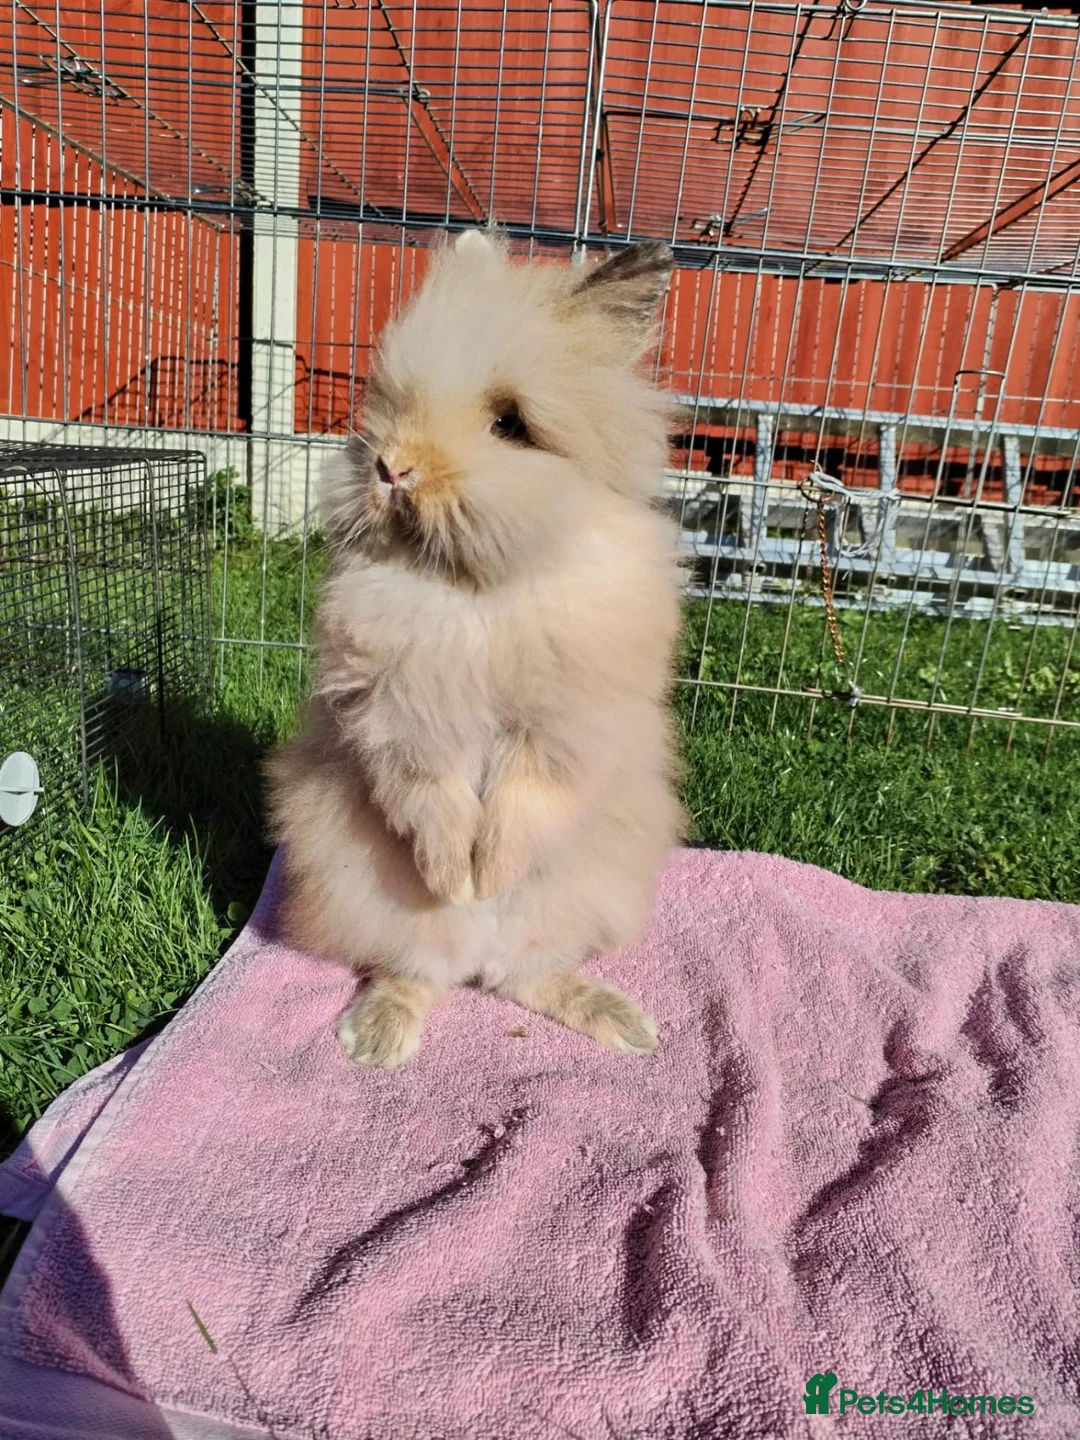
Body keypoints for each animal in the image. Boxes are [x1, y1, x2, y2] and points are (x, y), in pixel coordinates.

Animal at [264, 228, 685, 1069]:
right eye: (388, 403)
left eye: (511, 425)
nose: (392, 467)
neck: (473, 593)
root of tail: (477, 959)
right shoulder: (400, 723)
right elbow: (432, 802)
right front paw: (455, 880)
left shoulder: (568, 730)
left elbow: (530, 801)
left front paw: (486, 876)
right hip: (363, 890)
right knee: (417, 972)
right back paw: (378, 1037)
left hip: (585, 895)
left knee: (527, 976)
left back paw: (621, 1023)